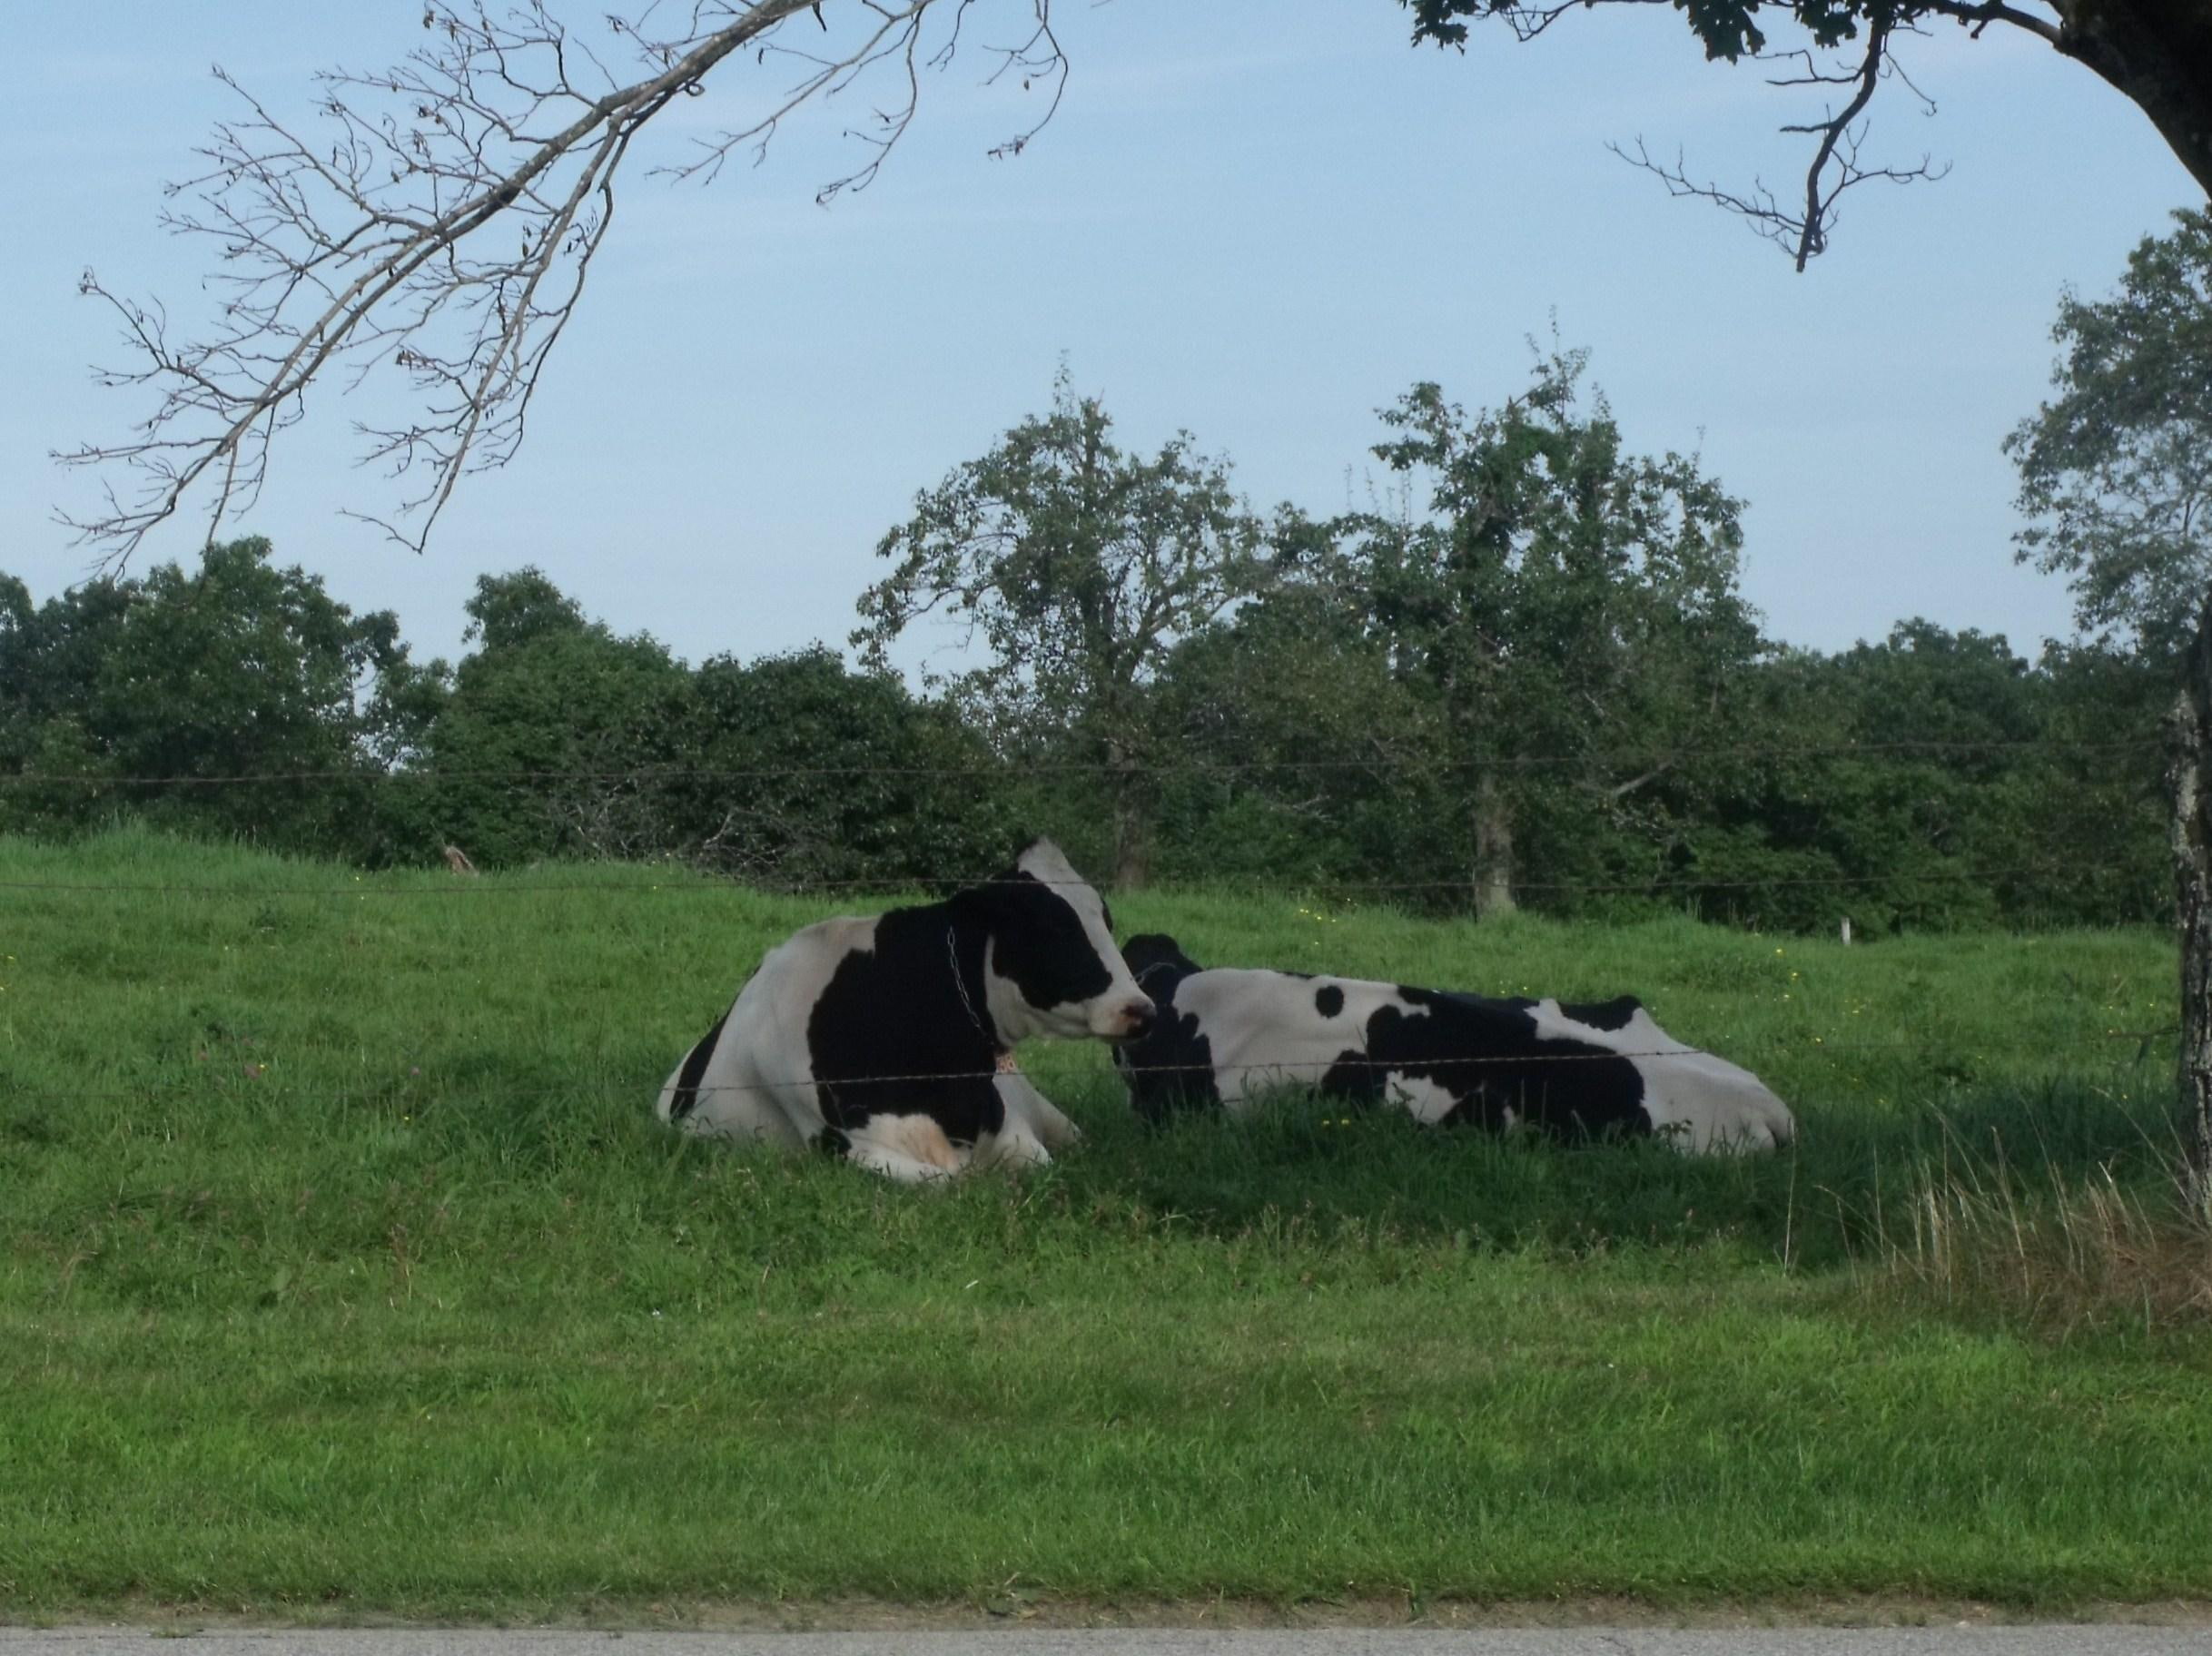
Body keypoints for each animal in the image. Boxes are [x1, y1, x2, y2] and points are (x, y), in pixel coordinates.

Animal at [655, 839, 1155, 1182]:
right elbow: (950, 1181)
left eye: (1106, 920)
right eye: (1050, 926)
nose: (1141, 1010)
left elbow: (1036, 1163)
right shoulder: (852, 1149)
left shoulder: (1013, 1131)